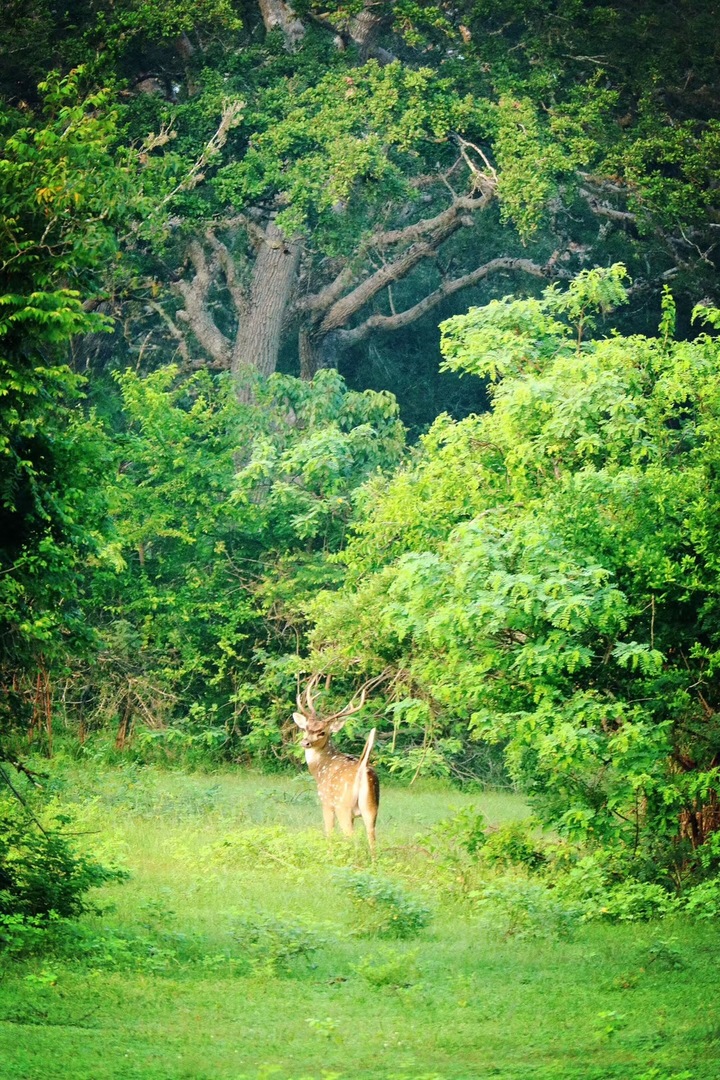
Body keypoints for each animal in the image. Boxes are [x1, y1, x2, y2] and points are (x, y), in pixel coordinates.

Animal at [291, 673, 388, 851]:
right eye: (306, 728)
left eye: (322, 732)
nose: (305, 742)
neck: (319, 769)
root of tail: (362, 768)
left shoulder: (326, 802)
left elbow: (329, 833)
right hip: (371, 806)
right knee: (372, 838)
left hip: (343, 805)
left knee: (351, 836)